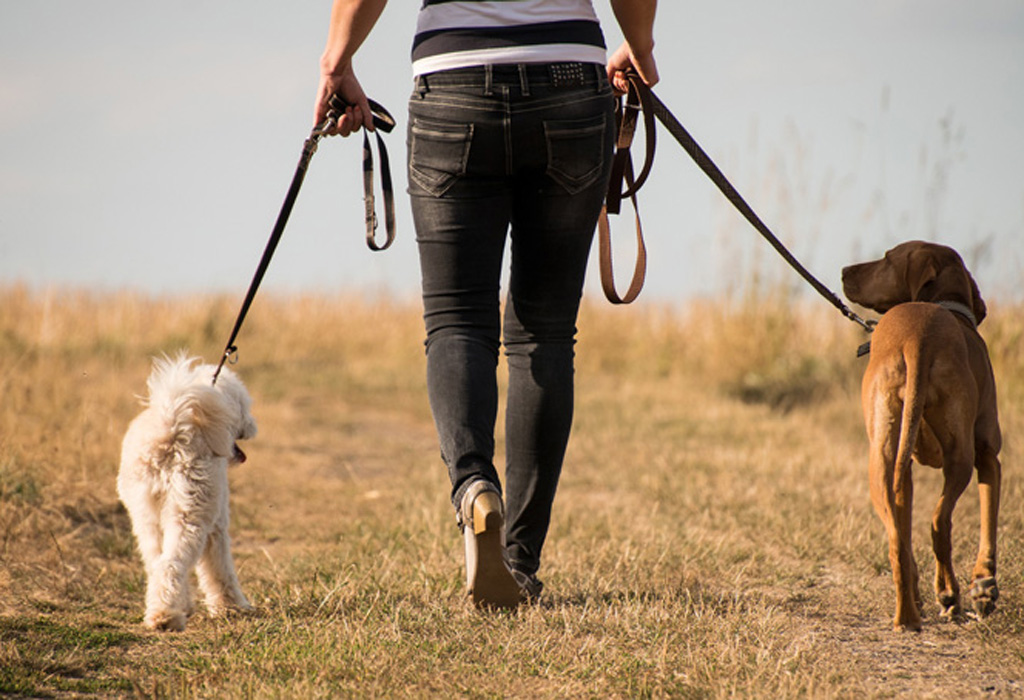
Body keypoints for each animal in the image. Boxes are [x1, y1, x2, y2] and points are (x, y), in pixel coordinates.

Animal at [118, 352, 258, 630]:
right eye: (243, 406)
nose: (252, 424)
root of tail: (172, 428)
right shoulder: (217, 526)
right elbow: (220, 569)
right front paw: (232, 606)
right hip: (190, 515)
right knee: (171, 564)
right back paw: (166, 618)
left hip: (145, 517)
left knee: (156, 563)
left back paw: (163, 610)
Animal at [843, 239, 1003, 630]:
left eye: (886, 258)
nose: (843, 271)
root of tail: (918, 337)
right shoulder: (988, 455)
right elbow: (988, 525)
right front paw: (984, 586)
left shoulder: (906, 469)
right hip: (960, 457)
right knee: (938, 523)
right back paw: (950, 595)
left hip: (881, 461)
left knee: (897, 539)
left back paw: (908, 615)